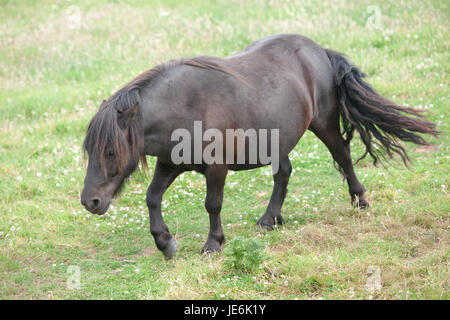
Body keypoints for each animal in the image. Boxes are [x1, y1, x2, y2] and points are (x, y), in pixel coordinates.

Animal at [81, 34, 436, 260]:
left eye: (110, 152)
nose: (90, 201)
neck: (184, 105)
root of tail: (318, 50)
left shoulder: (216, 168)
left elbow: (212, 204)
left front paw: (213, 244)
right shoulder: (169, 163)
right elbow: (152, 198)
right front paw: (165, 243)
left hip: (324, 123)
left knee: (343, 156)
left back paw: (359, 200)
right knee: (285, 173)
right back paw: (270, 219)